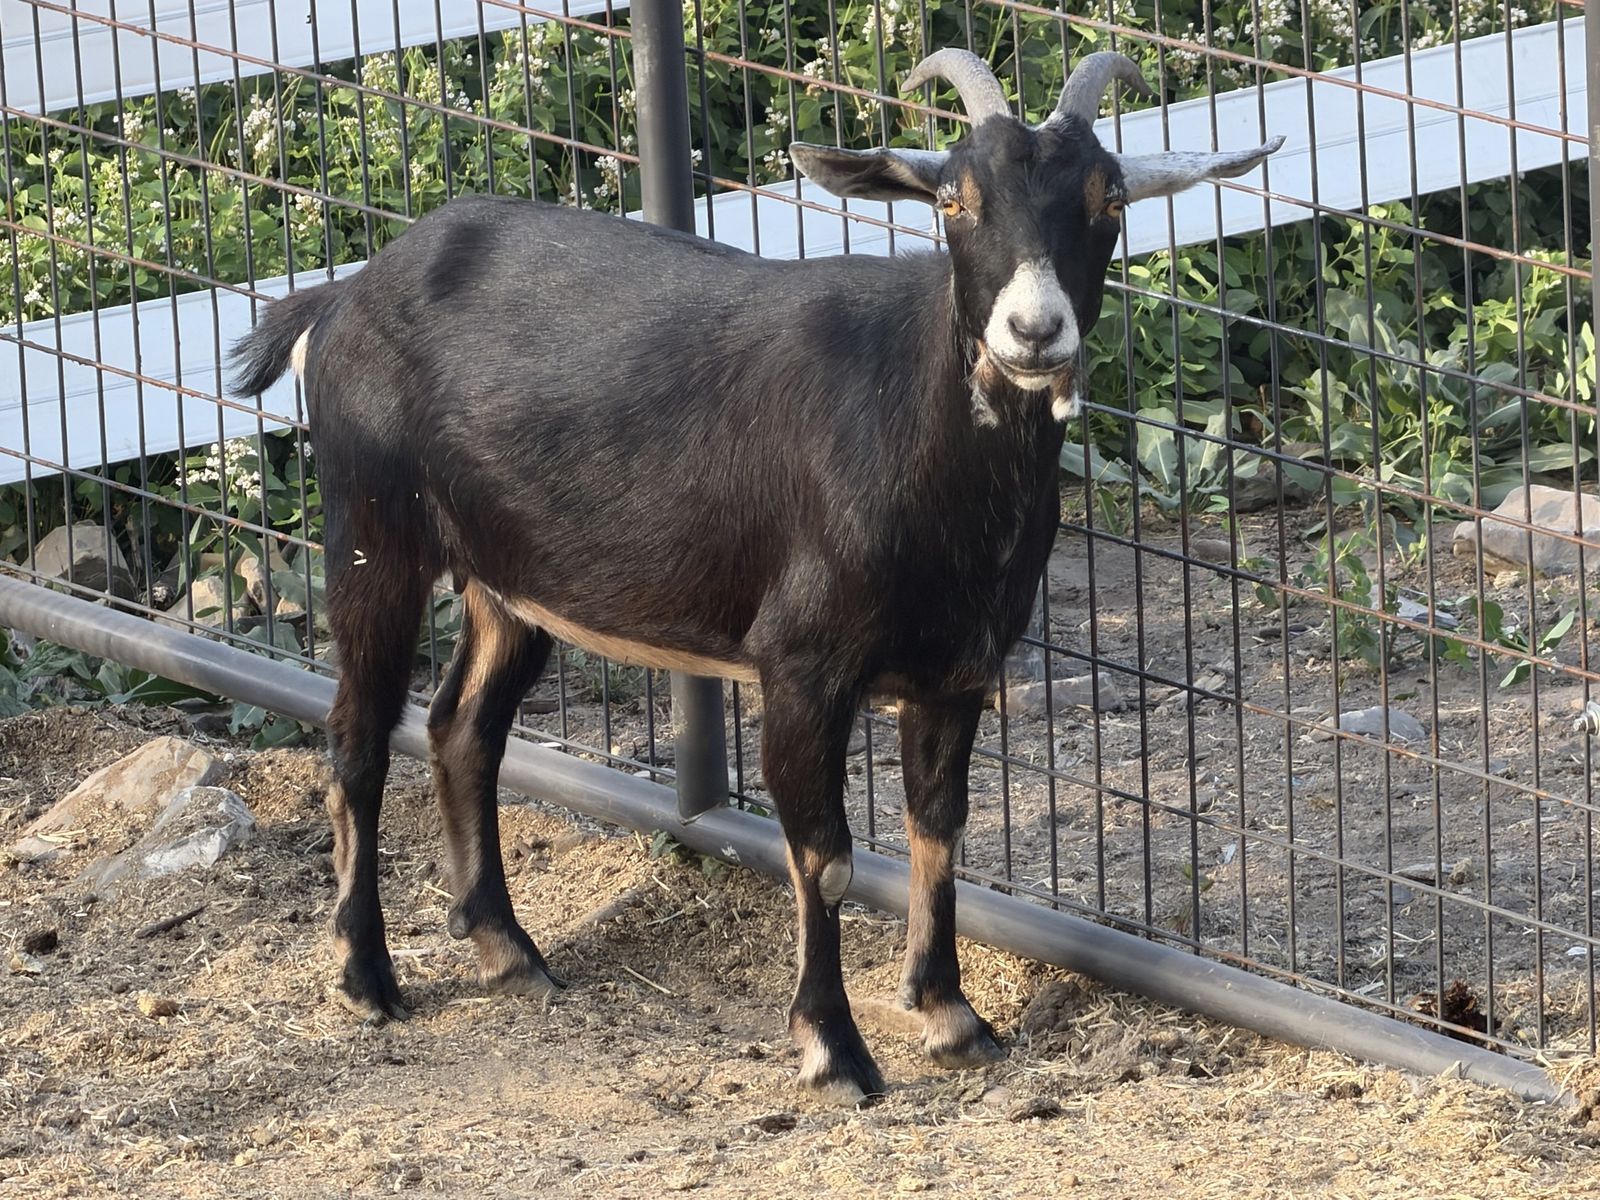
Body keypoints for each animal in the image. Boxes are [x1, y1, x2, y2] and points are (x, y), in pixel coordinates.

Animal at [231, 49, 1282, 1103]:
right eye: (954, 198)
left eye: (1110, 199)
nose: (1034, 330)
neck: (916, 424)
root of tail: (343, 296)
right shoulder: (801, 663)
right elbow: (825, 858)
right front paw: (833, 1047)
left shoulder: (958, 668)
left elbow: (940, 828)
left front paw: (950, 1015)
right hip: (372, 533)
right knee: (358, 737)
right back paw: (366, 974)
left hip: (509, 582)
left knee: (463, 728)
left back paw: (508, 949)